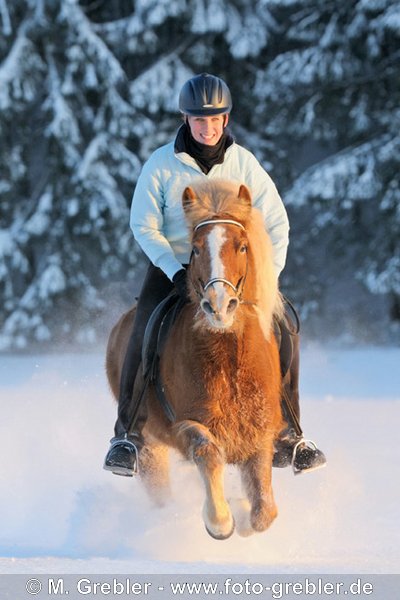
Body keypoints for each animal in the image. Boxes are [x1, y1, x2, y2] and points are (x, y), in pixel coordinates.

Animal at [106, 178, 284, 540]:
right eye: (196, 248)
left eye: (242, 247)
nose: (219, 305)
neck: (230, 362)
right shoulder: (186, 426)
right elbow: (208, 453)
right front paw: (222, 520)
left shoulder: (260, 434)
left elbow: (264, 513)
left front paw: (243, 512)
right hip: (149, 450)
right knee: (160, 493)